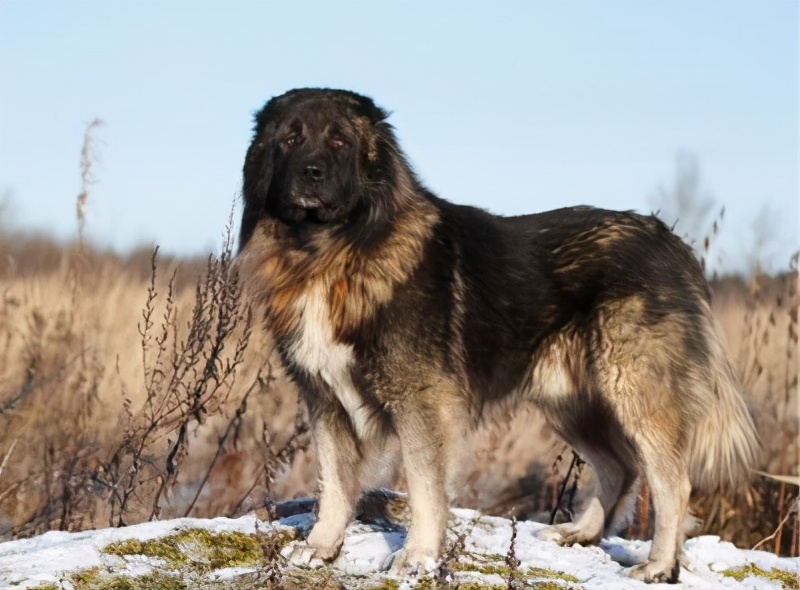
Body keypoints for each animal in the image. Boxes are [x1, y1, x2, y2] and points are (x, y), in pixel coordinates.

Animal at [236, 90, 756, 584]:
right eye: (290, 138)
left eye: (340, 141)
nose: (312, 173)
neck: (329, 251)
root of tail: (671, 241)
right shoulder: (324, 399)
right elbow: (334, 482)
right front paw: (321, 547)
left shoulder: (421, 401)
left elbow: (424, 487)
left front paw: (417, 558)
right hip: (570, 401)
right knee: (621, 467)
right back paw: (581, 533)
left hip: (632, 390)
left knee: (670, 480)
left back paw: (658, 566)